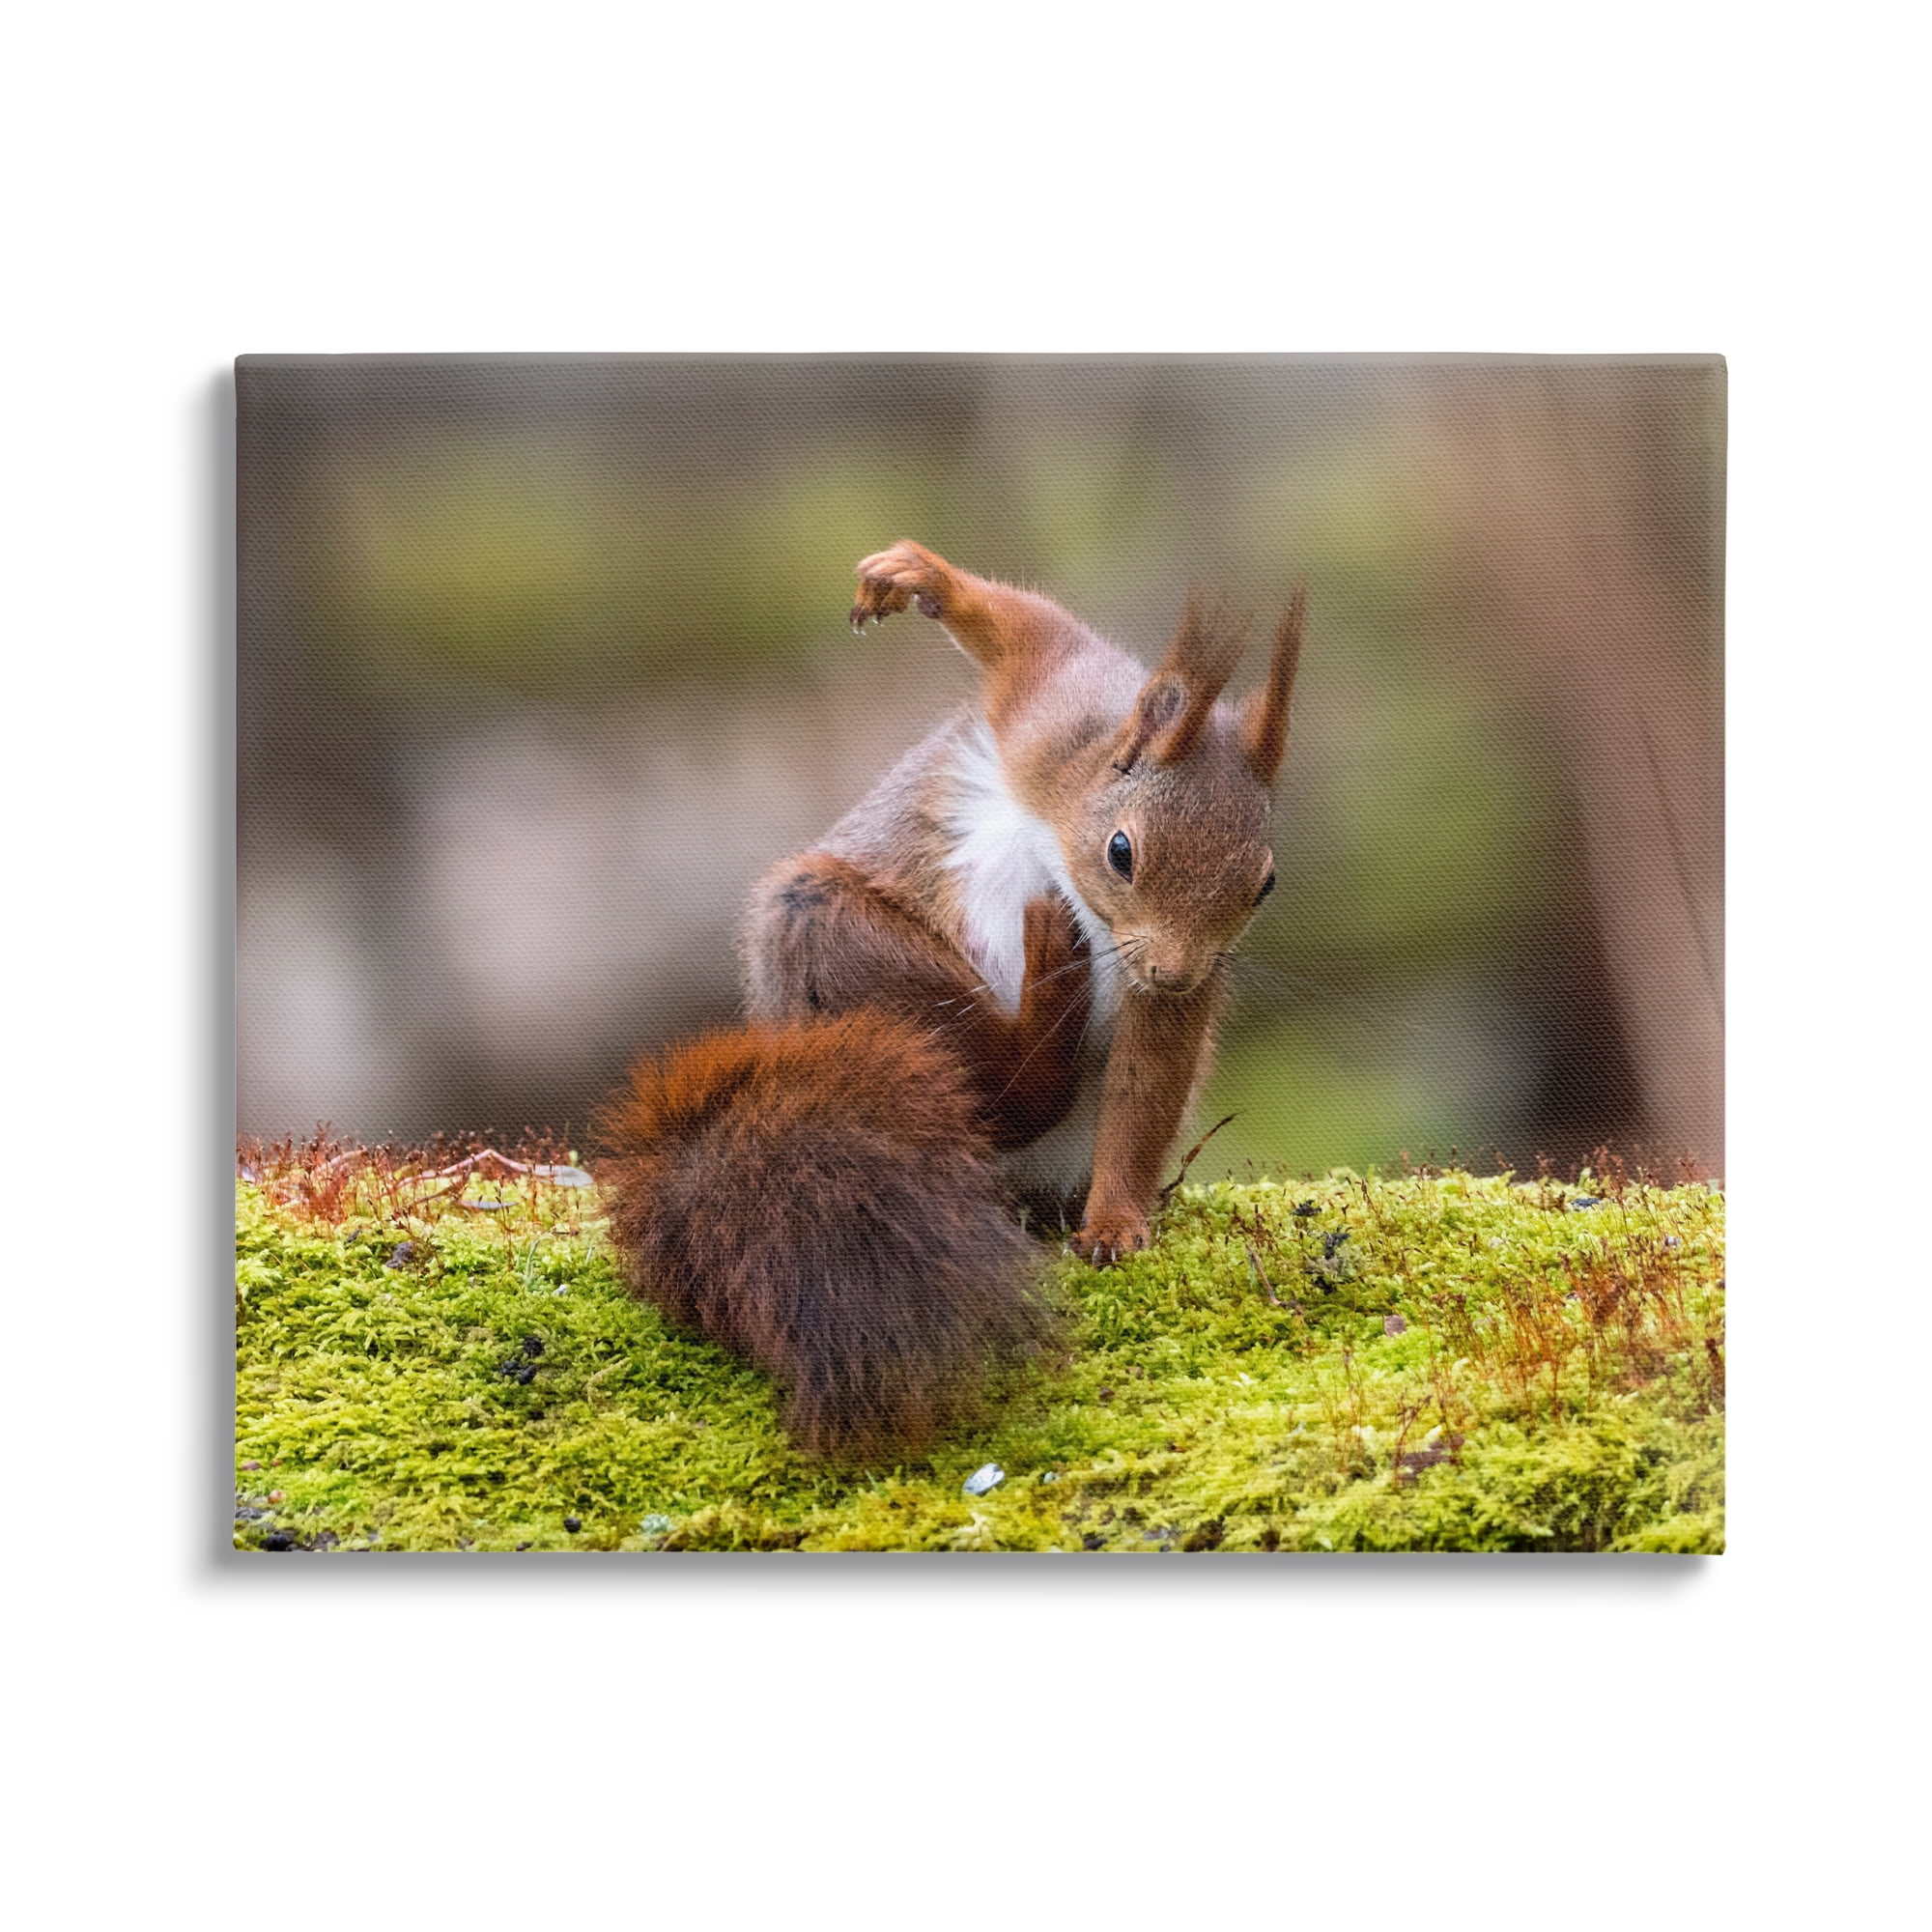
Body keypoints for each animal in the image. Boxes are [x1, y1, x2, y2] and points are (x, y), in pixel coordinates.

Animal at [597, 540, 1304, 1458]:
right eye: (1122, 852)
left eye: (1265, 884)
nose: (1177, 973)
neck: (1069, 831)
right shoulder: (1050, 709)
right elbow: (1025, 631)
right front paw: (917, 578)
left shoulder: (1167, 990)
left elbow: (1145, 1091)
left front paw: (1115, 1224)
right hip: (825, 929)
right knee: (1001, 1089)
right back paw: (1045, 993)